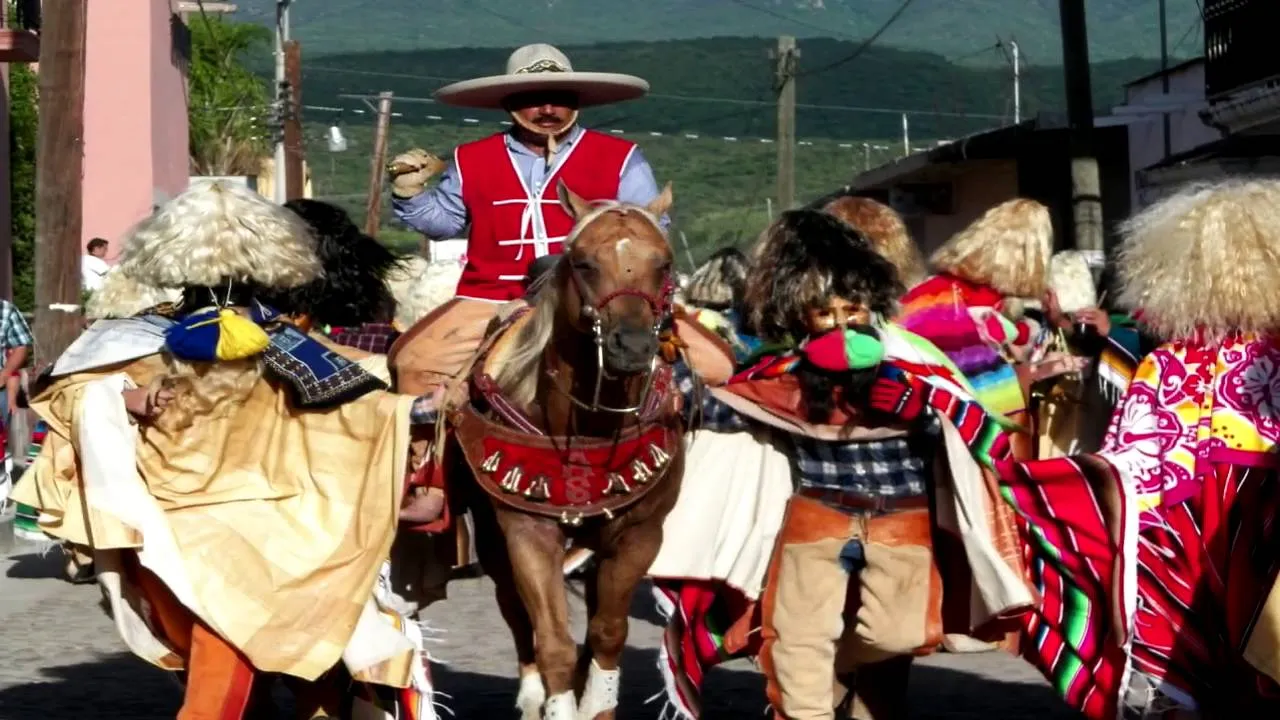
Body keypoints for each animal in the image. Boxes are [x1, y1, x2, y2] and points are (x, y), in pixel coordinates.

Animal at [453, 180, 686, 717]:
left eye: (663, 262)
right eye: (583, 262)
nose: (632, 346)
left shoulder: (640, 536)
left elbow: (607, 633)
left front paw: (596, 702)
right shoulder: (527, 532)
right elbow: (552, 641)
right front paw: (555, 699)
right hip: (493, 539)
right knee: (516, 613)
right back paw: (531, 694)